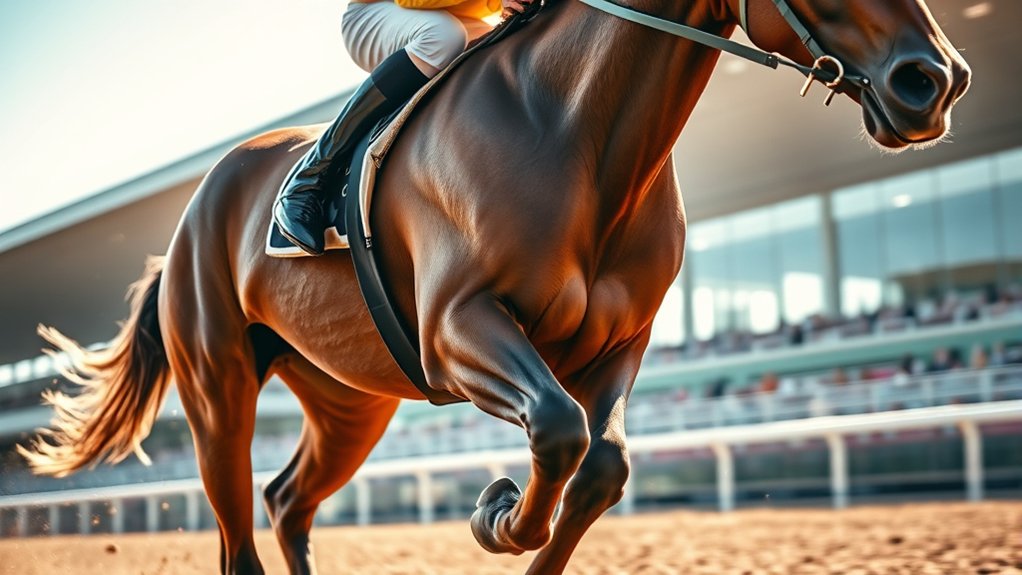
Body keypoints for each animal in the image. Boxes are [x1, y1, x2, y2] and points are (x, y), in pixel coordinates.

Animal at [20, 0, 969, 573]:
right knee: (236, 527)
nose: (936, 79)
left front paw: (517, 514)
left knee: (288, 501)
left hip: (347, 402)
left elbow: (601, 464)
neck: (575, 133)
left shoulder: (617, 344)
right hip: (218, 384)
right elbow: (556, 430)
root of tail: (188, 217)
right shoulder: (457, 328)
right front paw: (496, 510)